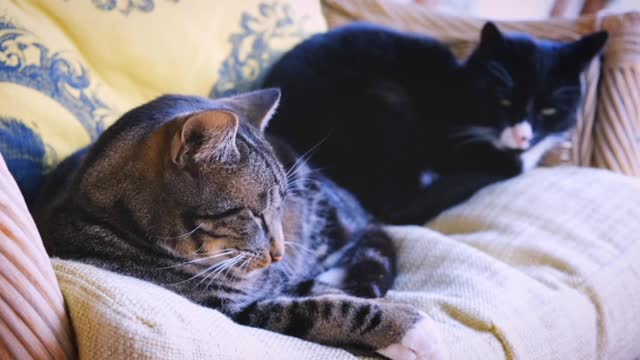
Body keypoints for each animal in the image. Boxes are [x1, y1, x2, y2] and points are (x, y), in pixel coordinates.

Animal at [35, 88, 444, 358]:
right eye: (255, 213)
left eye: (282, 206)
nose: (279, 253)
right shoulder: (234, 311)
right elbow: (324, 307)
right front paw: (409, 328)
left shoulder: (279, 279)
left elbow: (326, 292)